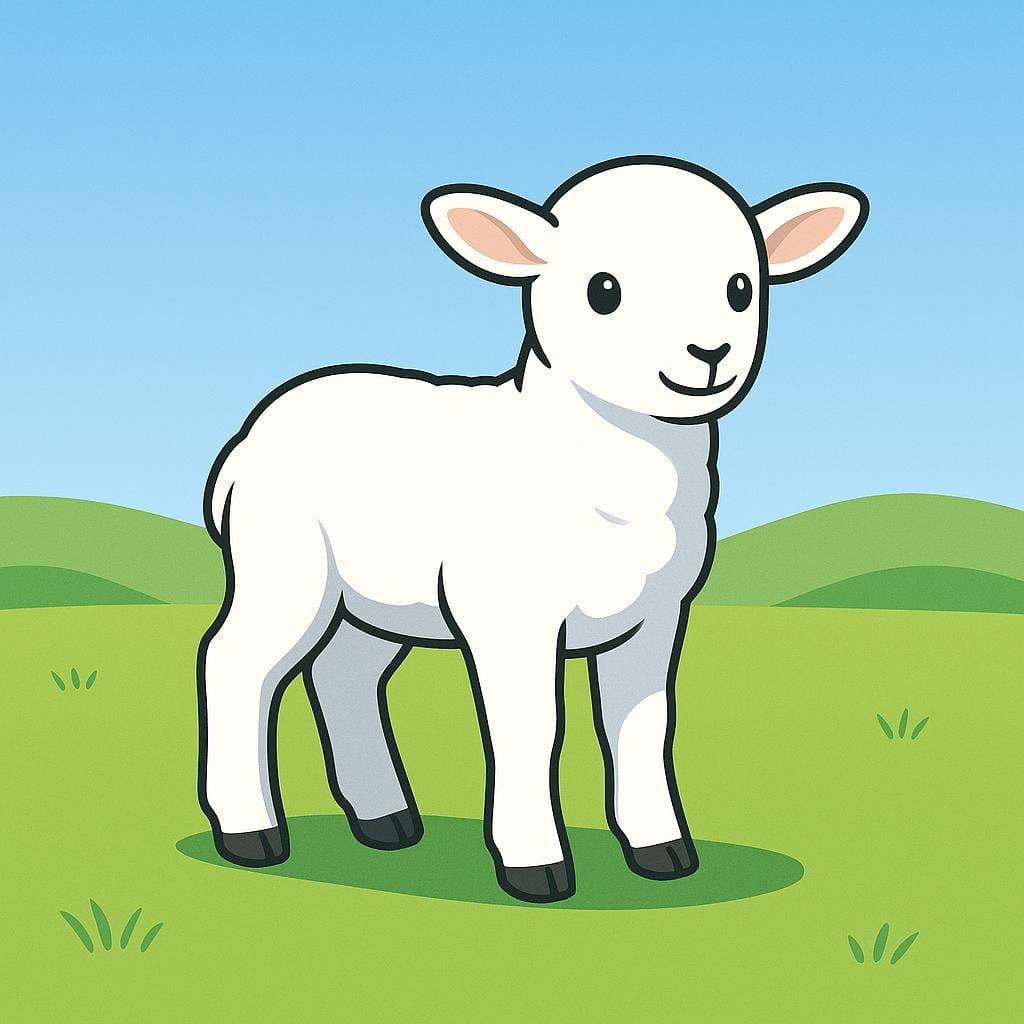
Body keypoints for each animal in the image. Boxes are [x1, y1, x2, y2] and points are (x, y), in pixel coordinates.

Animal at [197, 155, 868, 903]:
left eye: (742, 287)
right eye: (603, 290)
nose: (710, 352)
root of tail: (247, 440)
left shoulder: (658, 614)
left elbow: (640, 726)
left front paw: (662, 852)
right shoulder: (510, 615)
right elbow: (533, 729)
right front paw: (536, 867)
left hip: (372, 597)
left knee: (343, 673)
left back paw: (387, 821)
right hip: (286, 565)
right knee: (236, 664)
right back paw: (251, 834)